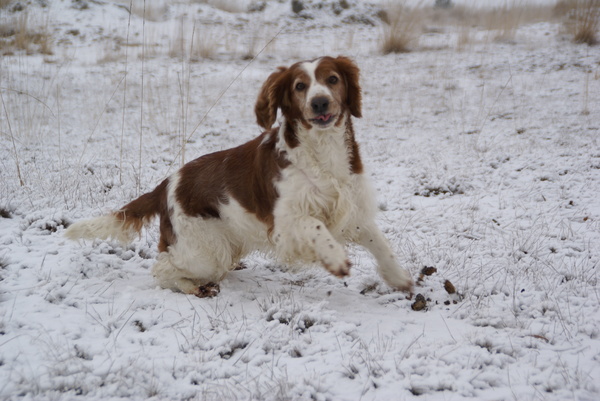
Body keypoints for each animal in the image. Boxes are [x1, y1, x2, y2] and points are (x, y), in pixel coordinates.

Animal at [65, 56, 412, 296]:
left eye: (333, 79)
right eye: (300, 86)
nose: (320, 102)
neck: (322, 151)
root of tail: (166, 184)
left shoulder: (353, 207)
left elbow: (380, 242)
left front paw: (399, 278)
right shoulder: (286, 219)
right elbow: (316, 226)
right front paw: (336, 258)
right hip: (205, 250)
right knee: (162, 268)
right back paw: (193, 287)